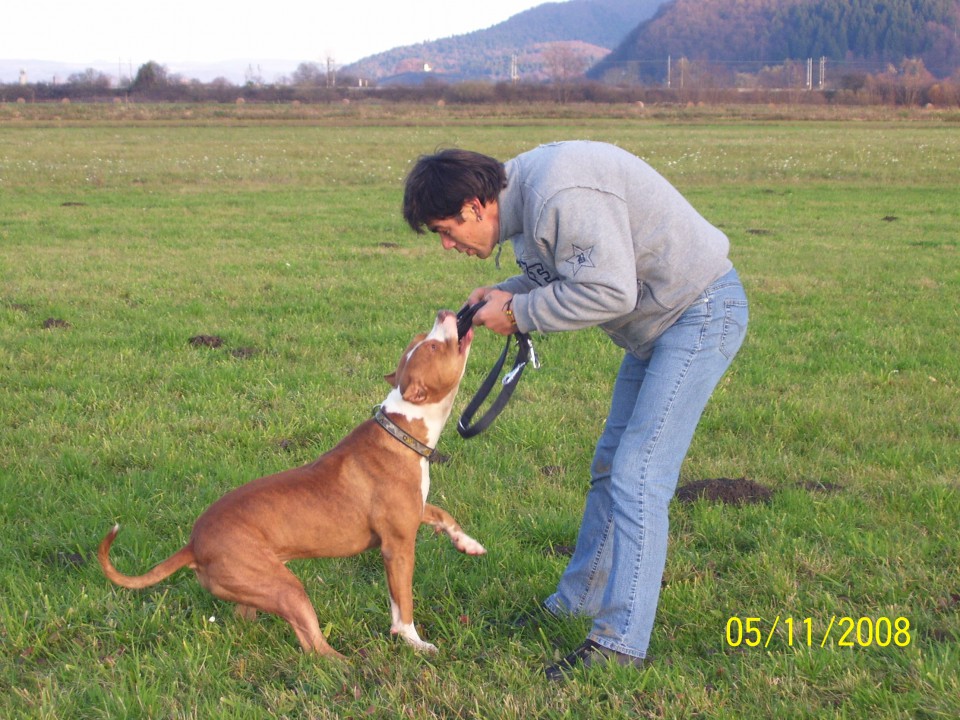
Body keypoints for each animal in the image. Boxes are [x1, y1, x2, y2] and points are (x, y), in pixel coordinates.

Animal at [99, 306, 488, 656]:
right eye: (432, 346)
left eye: (423, 340)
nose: (445, 313)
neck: (401, 427)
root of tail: (193, 544)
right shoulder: (397, 546)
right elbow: (401, 604)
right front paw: (414, 642)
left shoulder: (414, 512)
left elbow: (443, 514)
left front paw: (467, 543)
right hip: (287, 589)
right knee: (314, 646)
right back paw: (348, 663)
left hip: (258, 586)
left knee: (248, 618)